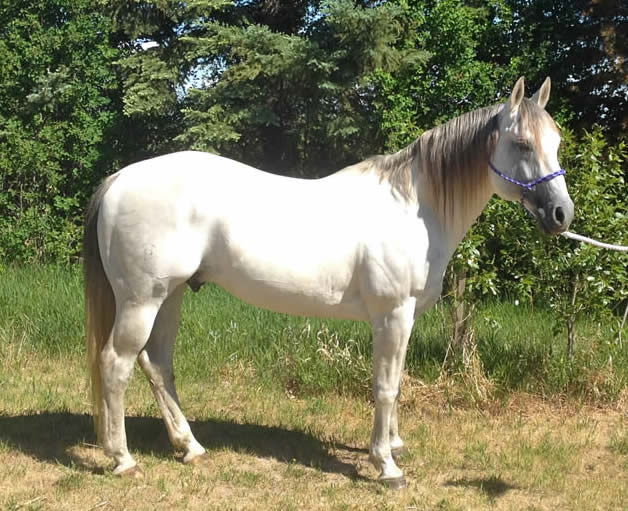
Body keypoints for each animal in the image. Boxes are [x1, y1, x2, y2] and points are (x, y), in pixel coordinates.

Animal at [83, 77, 573, 487]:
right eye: (522, 143)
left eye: (557, 142)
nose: (561, 214)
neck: (413, 207)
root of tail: (119, 179)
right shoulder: (393, 313)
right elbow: (385, 386)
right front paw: (386, 465)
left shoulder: (405, 317)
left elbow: (397, 381)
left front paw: (394, 445)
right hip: (142, 301)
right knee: (116, 363)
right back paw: (123, 459)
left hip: (171, 296)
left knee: (157, 364)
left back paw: (190, 447)